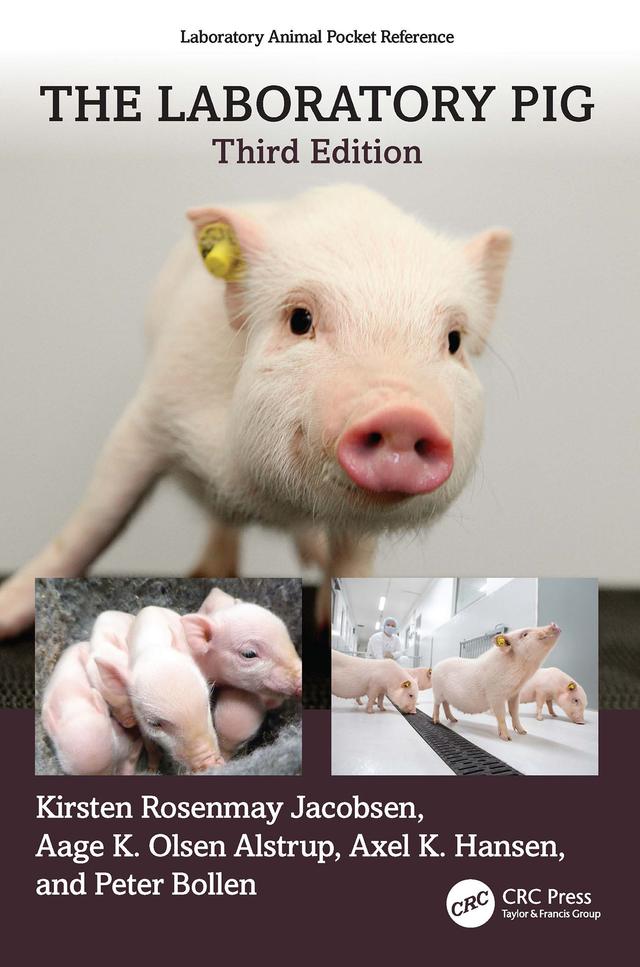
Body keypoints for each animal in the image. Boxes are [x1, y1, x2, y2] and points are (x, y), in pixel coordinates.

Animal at [0, 186, 512, 636]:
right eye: (300, 320)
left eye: (454, 340)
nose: (402, 414)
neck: (273, 499)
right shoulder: (154, 409)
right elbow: (96, 517)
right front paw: (8, 617)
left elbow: (352, 555)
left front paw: (326, 624)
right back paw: (210, 567)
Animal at [91, 606, 224, 772]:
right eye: (155, 724)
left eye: (207, 704)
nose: (210, 762)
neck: (152, 649)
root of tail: (150, 607)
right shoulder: (141, 724)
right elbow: (150, 747)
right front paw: (151, 770)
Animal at [431, 623, 562, 740]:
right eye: (524, 634)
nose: (553, 624)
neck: (521, 676)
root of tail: (436, 666)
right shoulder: (495, 694)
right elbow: (501, 715)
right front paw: (507, 738)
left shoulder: (515, 694)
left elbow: (515, 712)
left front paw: (523, 732)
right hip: (437, 691)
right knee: (437, 705)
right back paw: (436, 721)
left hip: (445, 695)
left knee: (445, 704)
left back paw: (454, 720)